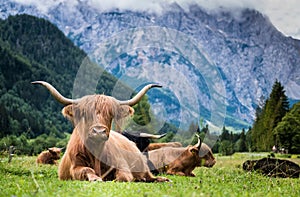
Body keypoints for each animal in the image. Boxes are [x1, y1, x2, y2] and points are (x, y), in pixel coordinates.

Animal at [33, 80, 169, 182]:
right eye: (86, 113)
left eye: (111, 114)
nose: (98, 131)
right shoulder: (75, 166)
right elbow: (87, 170)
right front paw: (95, 178)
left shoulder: (121, 164)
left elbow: (123, 176)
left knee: (150, 176)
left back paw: (163, 179)